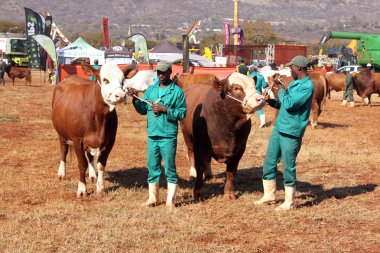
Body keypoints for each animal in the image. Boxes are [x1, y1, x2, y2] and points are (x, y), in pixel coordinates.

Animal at [51, 62, 128, 197]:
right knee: (63, 150)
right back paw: (61, 173)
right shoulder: (77, 140)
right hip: (62, 134)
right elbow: (82, 164)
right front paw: (82, 189)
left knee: (90, 156)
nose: (121, 96)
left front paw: (100, 187)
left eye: (123, 80)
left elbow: (101, 164)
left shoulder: (110, 140)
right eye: (105, 80)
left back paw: (92, 176)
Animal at [180, 72, 264, 201]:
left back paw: (208, 174)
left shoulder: (240, 148)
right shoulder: (201, 144)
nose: (260, 99)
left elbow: (231, 170)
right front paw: (198, 192)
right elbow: (200, 166)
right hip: (187, 137)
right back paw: (192, 175)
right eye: (236, 88)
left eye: (254, 85)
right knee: (191, 154)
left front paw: (229, 192)